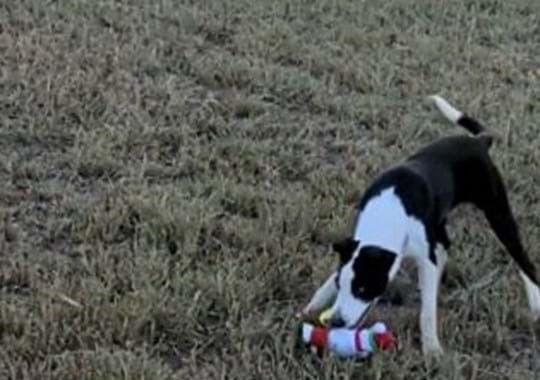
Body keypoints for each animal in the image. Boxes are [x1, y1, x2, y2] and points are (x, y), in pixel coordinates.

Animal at [300, 95, 540, 356]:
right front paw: (311, 307)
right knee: (444, 245)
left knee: (521, 258)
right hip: (439, 220)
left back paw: (535, 301)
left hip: (497, 211)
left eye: (362, 288)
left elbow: (427, 312)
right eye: (339, 284)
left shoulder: (421, 255)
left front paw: (432, 349)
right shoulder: (359, 245)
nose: (336, 322)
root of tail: (478, 141)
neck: (388, 213)